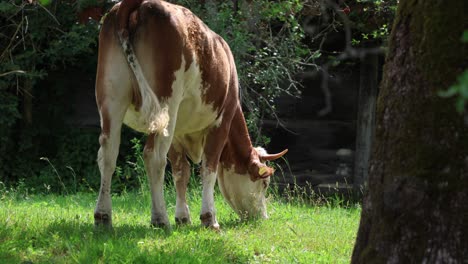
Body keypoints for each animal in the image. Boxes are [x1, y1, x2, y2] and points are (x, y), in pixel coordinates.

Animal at [93, 0, 288, 230]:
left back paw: (103, 216)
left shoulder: (178, 132)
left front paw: (183, 217)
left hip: (112, 98)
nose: (263, 217)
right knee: (154, 157)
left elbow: (181, 172)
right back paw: (160, 218)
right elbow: (208, 168)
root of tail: (137, 4)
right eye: (264, 183)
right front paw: (209, 218)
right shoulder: (221, 121)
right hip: (166, 104)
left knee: (108, 153)